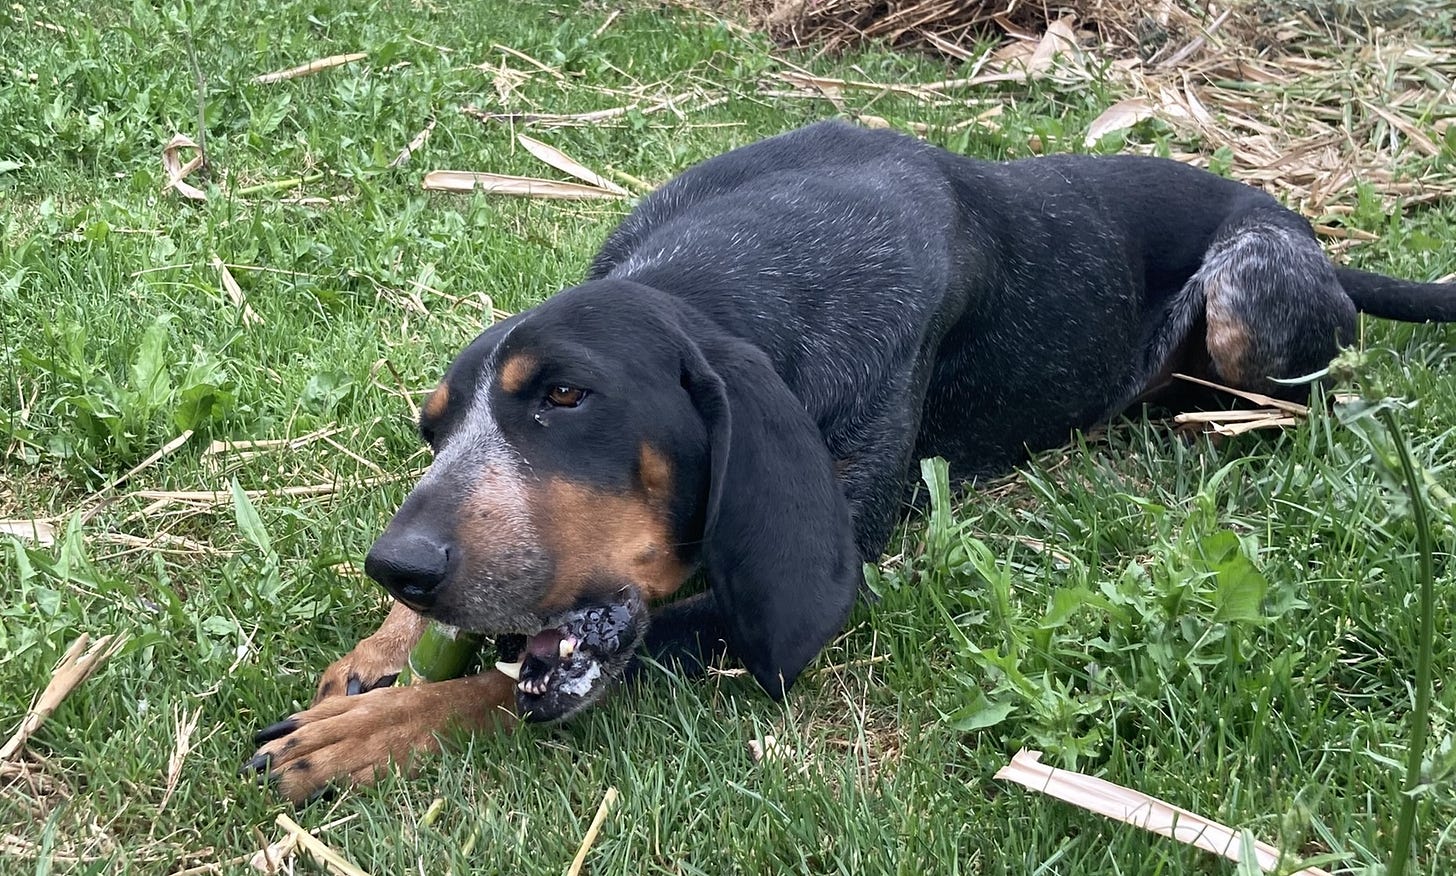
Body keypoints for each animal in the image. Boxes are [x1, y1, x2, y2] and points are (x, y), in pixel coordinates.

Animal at [246, 120, 1454, 802]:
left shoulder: (781, 599)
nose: (398, 566)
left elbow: (509, 682)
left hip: (1250, 306)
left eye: (565, 397)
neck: (741, 265)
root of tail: (1307, 232)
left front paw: (373, 730)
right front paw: (377, 653)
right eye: (432, 431)